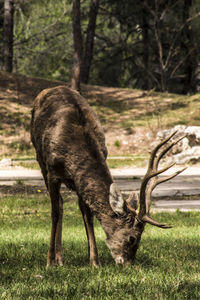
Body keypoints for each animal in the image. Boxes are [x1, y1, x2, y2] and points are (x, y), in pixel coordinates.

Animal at [30, 85, 185, 266]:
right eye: (132, 238)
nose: (127, 263)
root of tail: (51, 88)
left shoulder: (80, 178)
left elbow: (87, 214)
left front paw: (94, 261)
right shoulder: (52, 171)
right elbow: (54, 213)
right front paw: (49, 262)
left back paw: (62, 258)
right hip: (39, 157)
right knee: (59, 205)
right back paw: (57, 259)